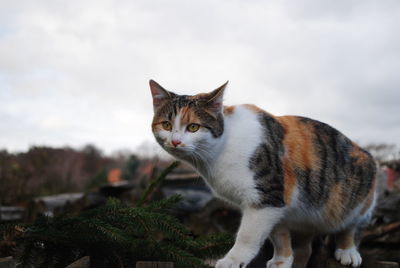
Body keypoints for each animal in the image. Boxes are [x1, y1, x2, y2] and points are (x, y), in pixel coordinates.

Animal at [149, 80, 376, 268]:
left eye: (193, 127)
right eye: (166, 125)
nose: (175, 141)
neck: (220, 150)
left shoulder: (267, 194)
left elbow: (248, 235)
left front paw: (233, 261)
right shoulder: (277, 203)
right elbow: (278, 234)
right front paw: (282, 260)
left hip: (359, 192)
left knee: (351, 225)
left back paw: (347, 251)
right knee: (307, 247)